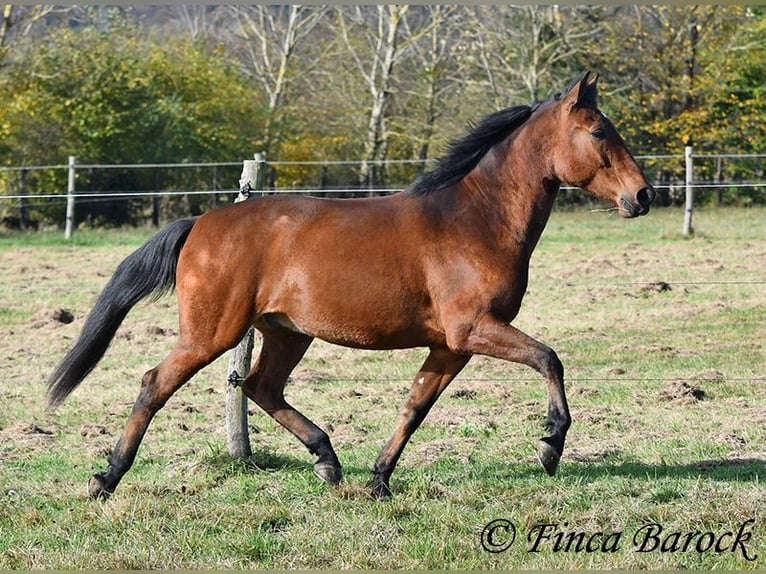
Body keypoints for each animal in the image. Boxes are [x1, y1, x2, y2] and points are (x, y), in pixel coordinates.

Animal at [48, 72, 656, 502]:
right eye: (599, 132)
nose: (643, 196)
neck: (475, 220)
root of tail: (201, 222)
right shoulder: (475, 329)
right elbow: (550, 358)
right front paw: (551, 446)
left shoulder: (451, 345)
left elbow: (415, 405)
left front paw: (380, 479)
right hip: (211, 333)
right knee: (156, 383)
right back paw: (106, 479)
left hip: (287, 332)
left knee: (262, 387)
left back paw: (328, 460)